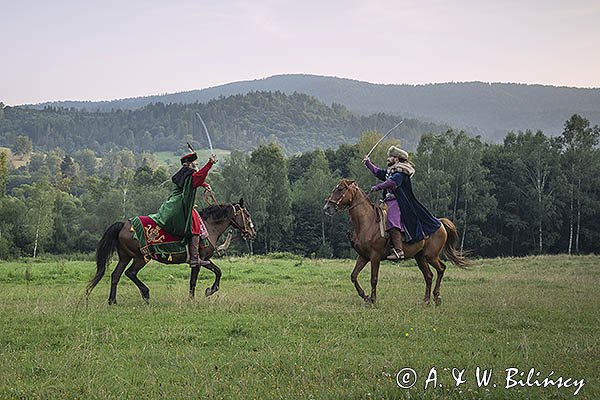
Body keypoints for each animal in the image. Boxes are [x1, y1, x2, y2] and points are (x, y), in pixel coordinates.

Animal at [86, 200, 255, 306]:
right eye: (247, 215)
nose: (252, 233)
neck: (208, 226)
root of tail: (123, 224)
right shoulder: (199, 260)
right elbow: (199, 278)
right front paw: (199, 296)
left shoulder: (203, 260)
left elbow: (213, 273)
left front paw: (206, 292)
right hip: (141, 258)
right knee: (130, 273)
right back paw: (145, 293)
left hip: (125, 257)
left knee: (116, 275)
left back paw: (112, 301)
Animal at [324, 180, 468, 304]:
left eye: (340, 189)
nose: (327, 207)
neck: (367, 222)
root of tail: (440, 223)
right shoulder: (363, 256)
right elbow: (353, 276)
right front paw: (365, 296)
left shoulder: (375, 256)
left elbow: (374, 278)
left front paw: (372, 300)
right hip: (420, 257)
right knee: (428, 276)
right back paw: (426, 301)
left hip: (431, 256)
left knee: (441, 269)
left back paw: (437, 296)